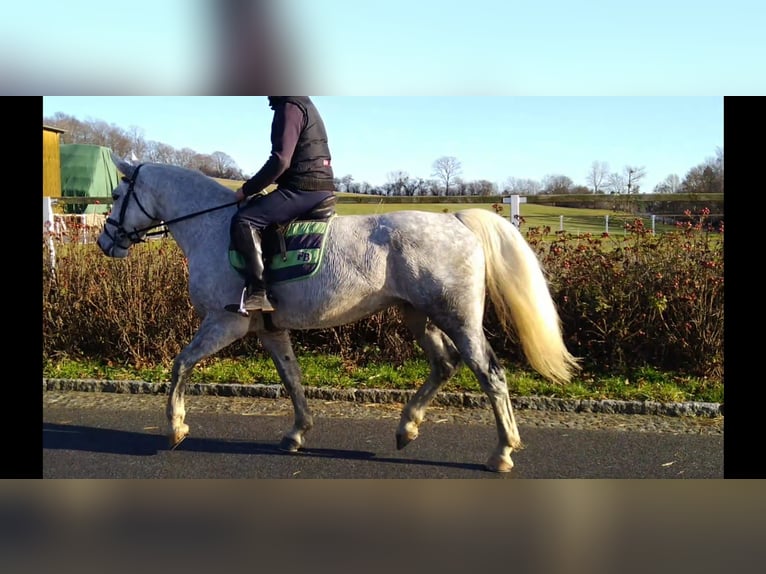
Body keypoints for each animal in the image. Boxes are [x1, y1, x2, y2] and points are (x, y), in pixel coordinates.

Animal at [97, 154, 579, 473]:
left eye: (118, 194)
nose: (105, 241)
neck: (213, 228)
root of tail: (455, 220)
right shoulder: (269, 330)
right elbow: (291, 378)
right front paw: (297, 433)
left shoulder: (224, 321)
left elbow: (181, 364)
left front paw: (176, 427)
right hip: (417, 316)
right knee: (444, 364)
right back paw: (407, 428)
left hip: (457, 319)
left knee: (489, 373)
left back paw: (502, 452)